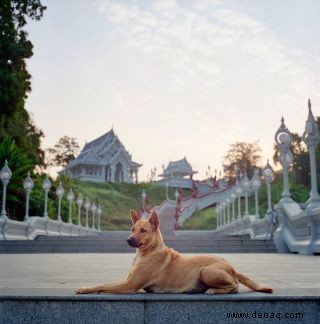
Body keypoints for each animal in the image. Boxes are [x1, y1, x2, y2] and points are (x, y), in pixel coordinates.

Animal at [75, 210, 272, 296]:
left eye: (143, 231)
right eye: (132, 229)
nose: (129, 240)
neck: (147, 253)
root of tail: (231, 266)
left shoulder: (130, 286)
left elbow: (103, 285)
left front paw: (85, 289)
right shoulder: (127, 280)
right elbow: (104, 283)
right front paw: (87, 287)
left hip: (205, 270)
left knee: (235, 287)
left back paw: (214, 290)